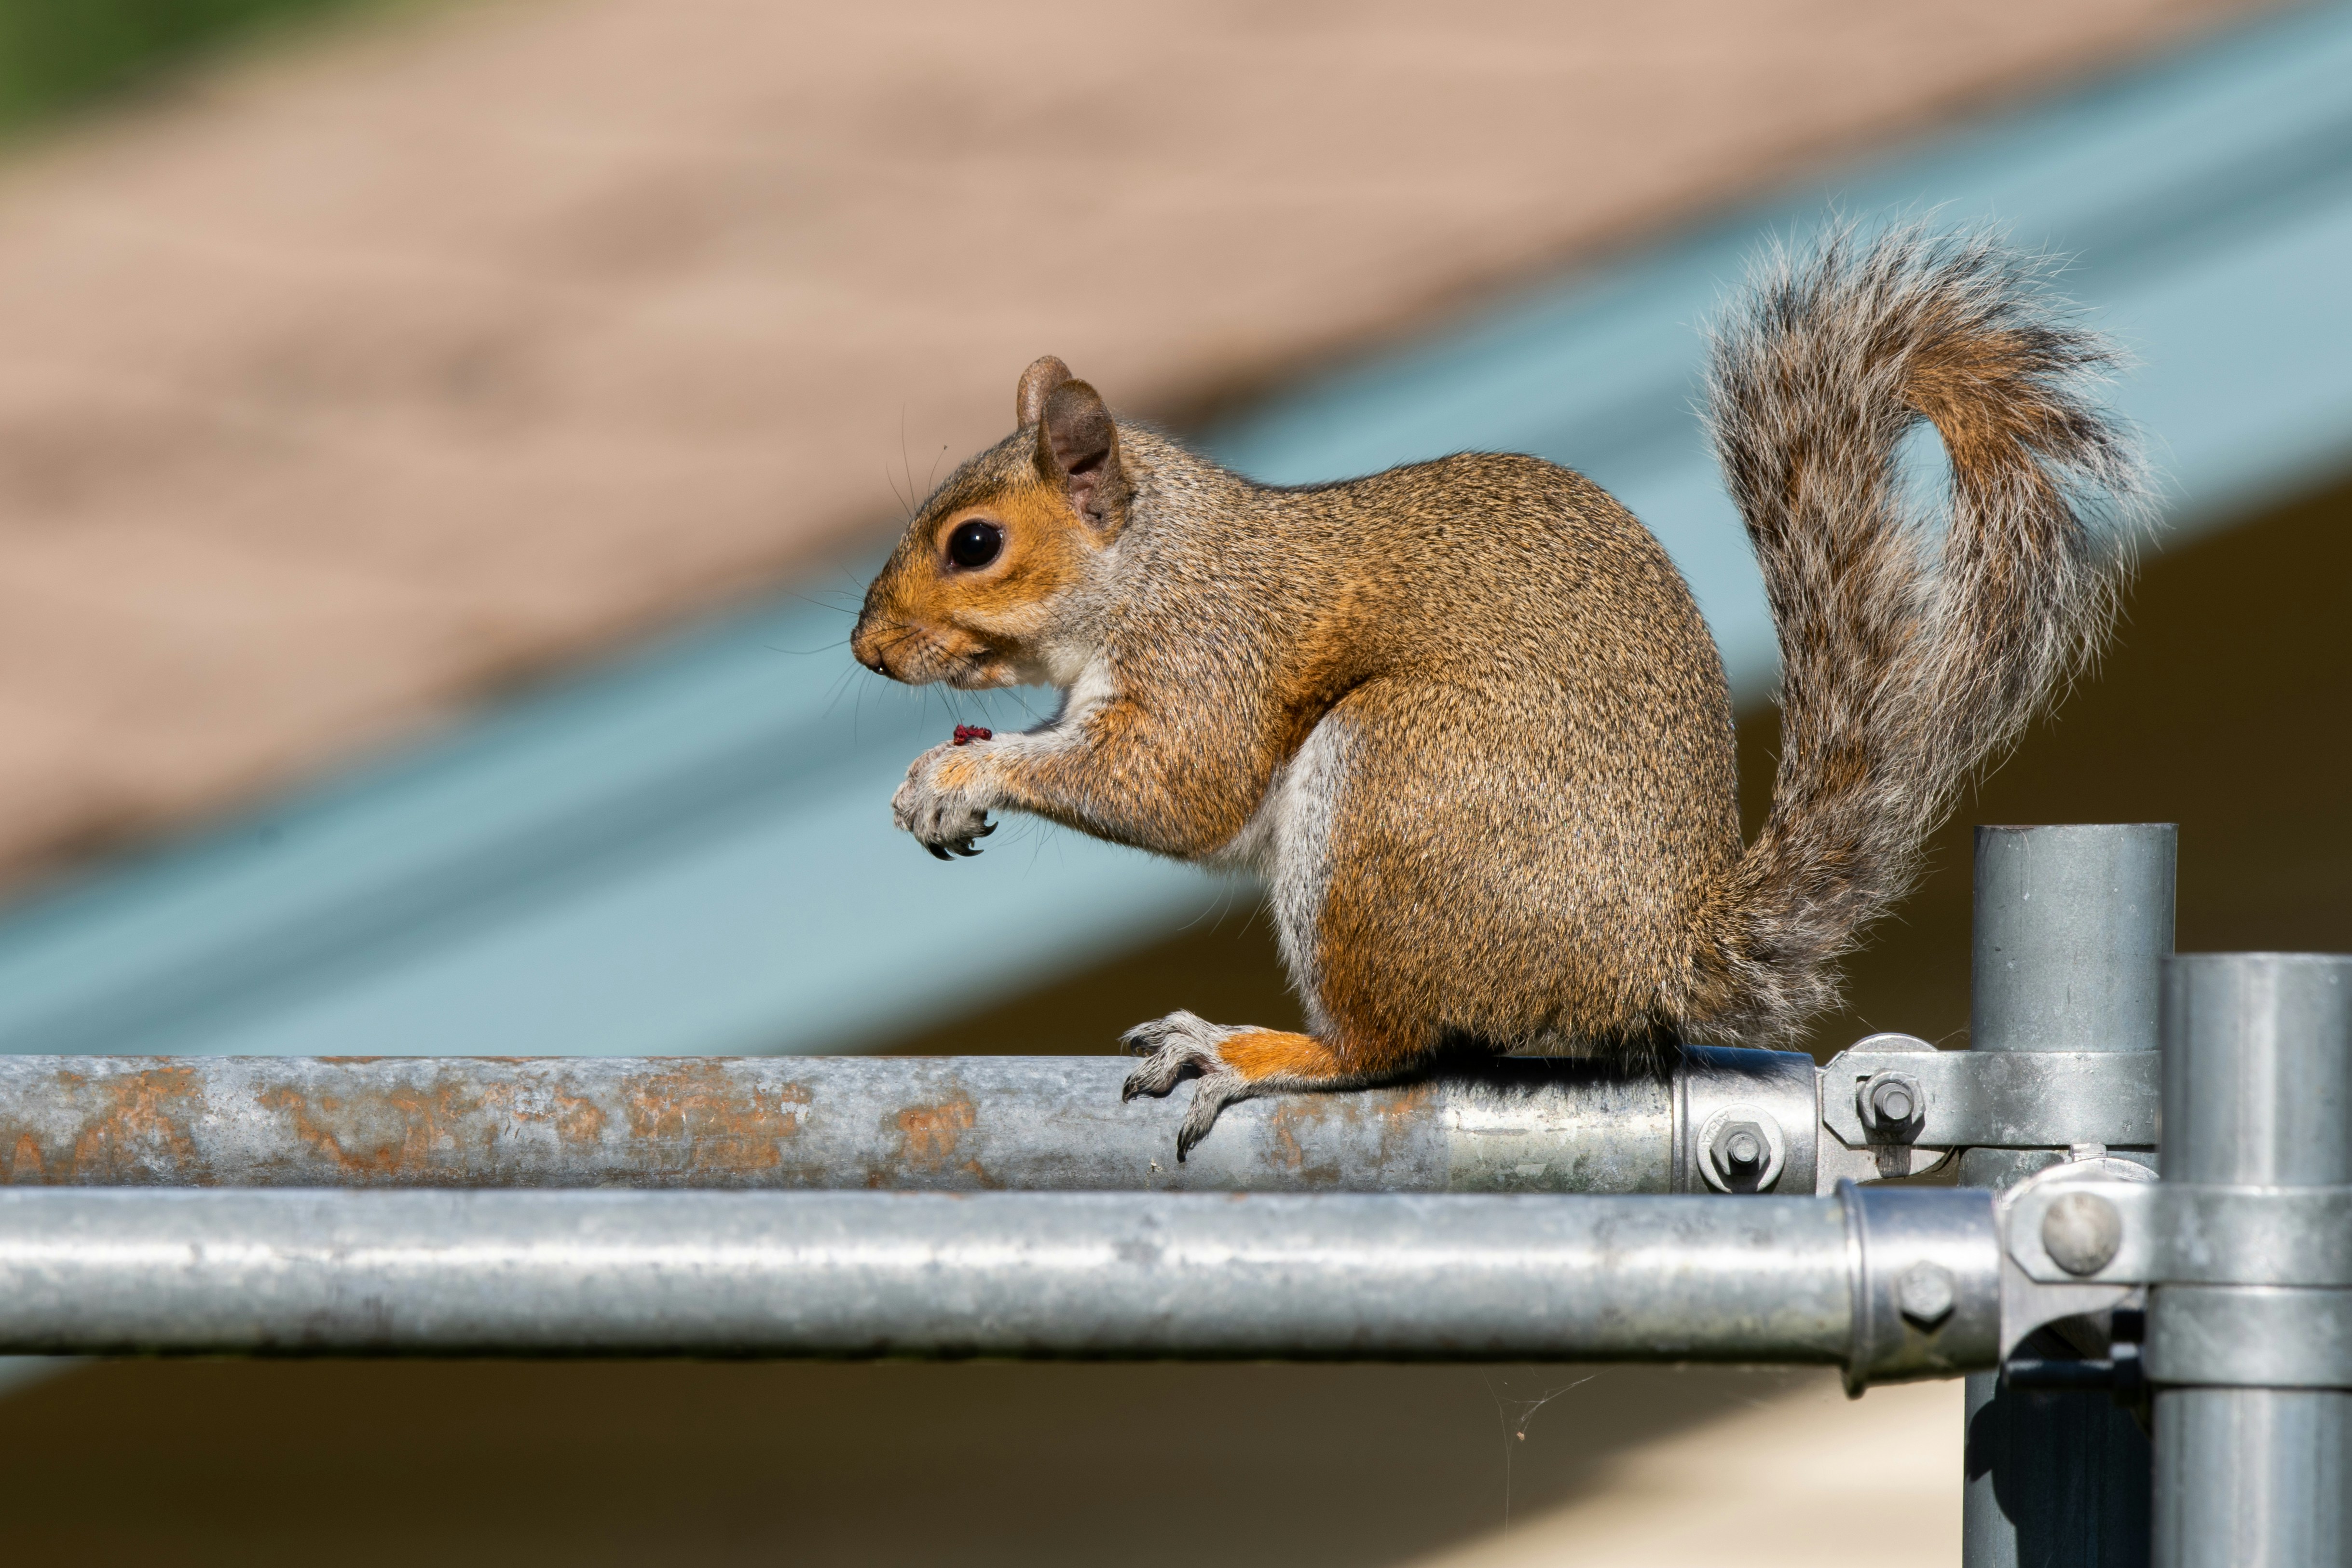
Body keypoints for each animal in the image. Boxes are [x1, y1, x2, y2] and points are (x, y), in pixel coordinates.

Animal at [850, 227, 2147, 1159]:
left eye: (975, 543)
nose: (865, 651)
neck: (1152, 565)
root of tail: (1655, 960)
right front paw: (935, 779)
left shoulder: (1207, 654)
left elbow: (1172, 785)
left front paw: (964, 770)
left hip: (1391, 788)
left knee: (1387, 1047)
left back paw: (1251, 1050)